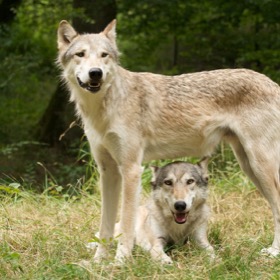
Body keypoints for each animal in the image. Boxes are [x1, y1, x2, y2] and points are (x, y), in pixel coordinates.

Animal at [56, 19, 280, 262]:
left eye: (104, 55)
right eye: (81, 54)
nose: (95, 73)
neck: (103, 107)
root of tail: (273, 84)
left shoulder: (131, 170)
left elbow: (126, 224)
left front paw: (120, 262)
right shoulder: (108, 172)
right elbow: (105, 225)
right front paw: (97, 262)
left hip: (260, 166)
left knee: (277, 207)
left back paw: (274, 253)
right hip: (249, 167)